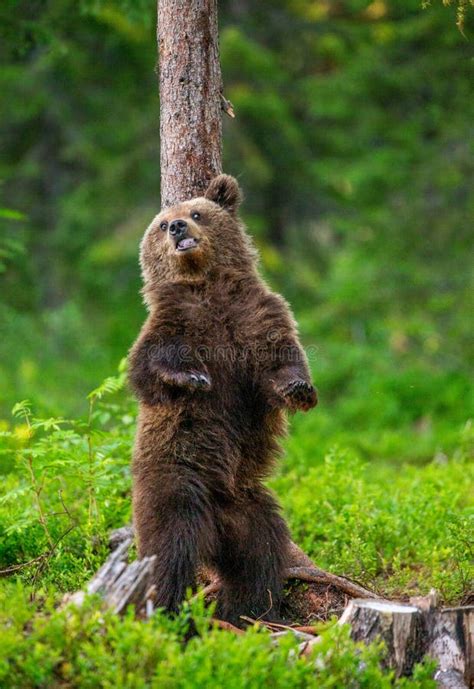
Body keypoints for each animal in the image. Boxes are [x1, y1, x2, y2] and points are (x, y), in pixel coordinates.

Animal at [128, 173, 316, 624]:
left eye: (197, 213)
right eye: (163, 224)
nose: (178, 227)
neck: (207, 286)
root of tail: (215, 522)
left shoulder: (256, 313)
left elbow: (281, 359)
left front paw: (299, 390)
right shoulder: (175, 321)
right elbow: (147, 369)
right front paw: (192, 378)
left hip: (248, 506)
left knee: (261, 553)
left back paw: (251, 608)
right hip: (176, 478)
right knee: (170, 547)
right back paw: (166, 607)